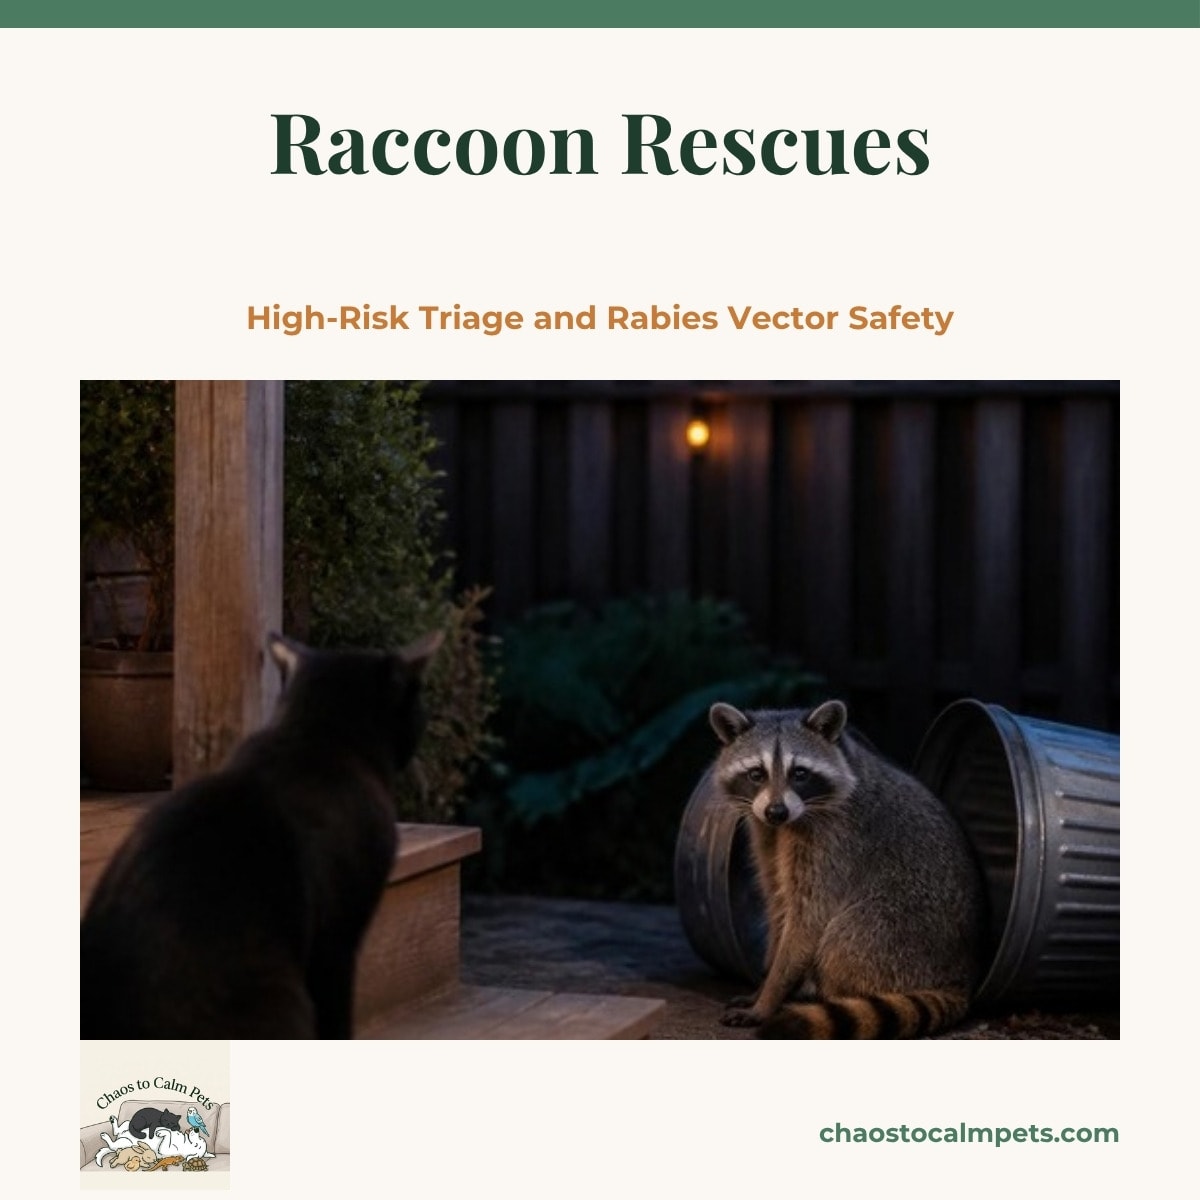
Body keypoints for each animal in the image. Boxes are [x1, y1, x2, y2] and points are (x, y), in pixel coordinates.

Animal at [708, 699, 985, 1039]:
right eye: (756, 774)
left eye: (800, 773)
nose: (776, 811)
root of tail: (961, 975)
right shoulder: (766, 835)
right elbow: (779, 907)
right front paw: (761, 988)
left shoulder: (834, 842)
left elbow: (807, 920)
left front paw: (771, 995)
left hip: (898, 933)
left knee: (843, 938)